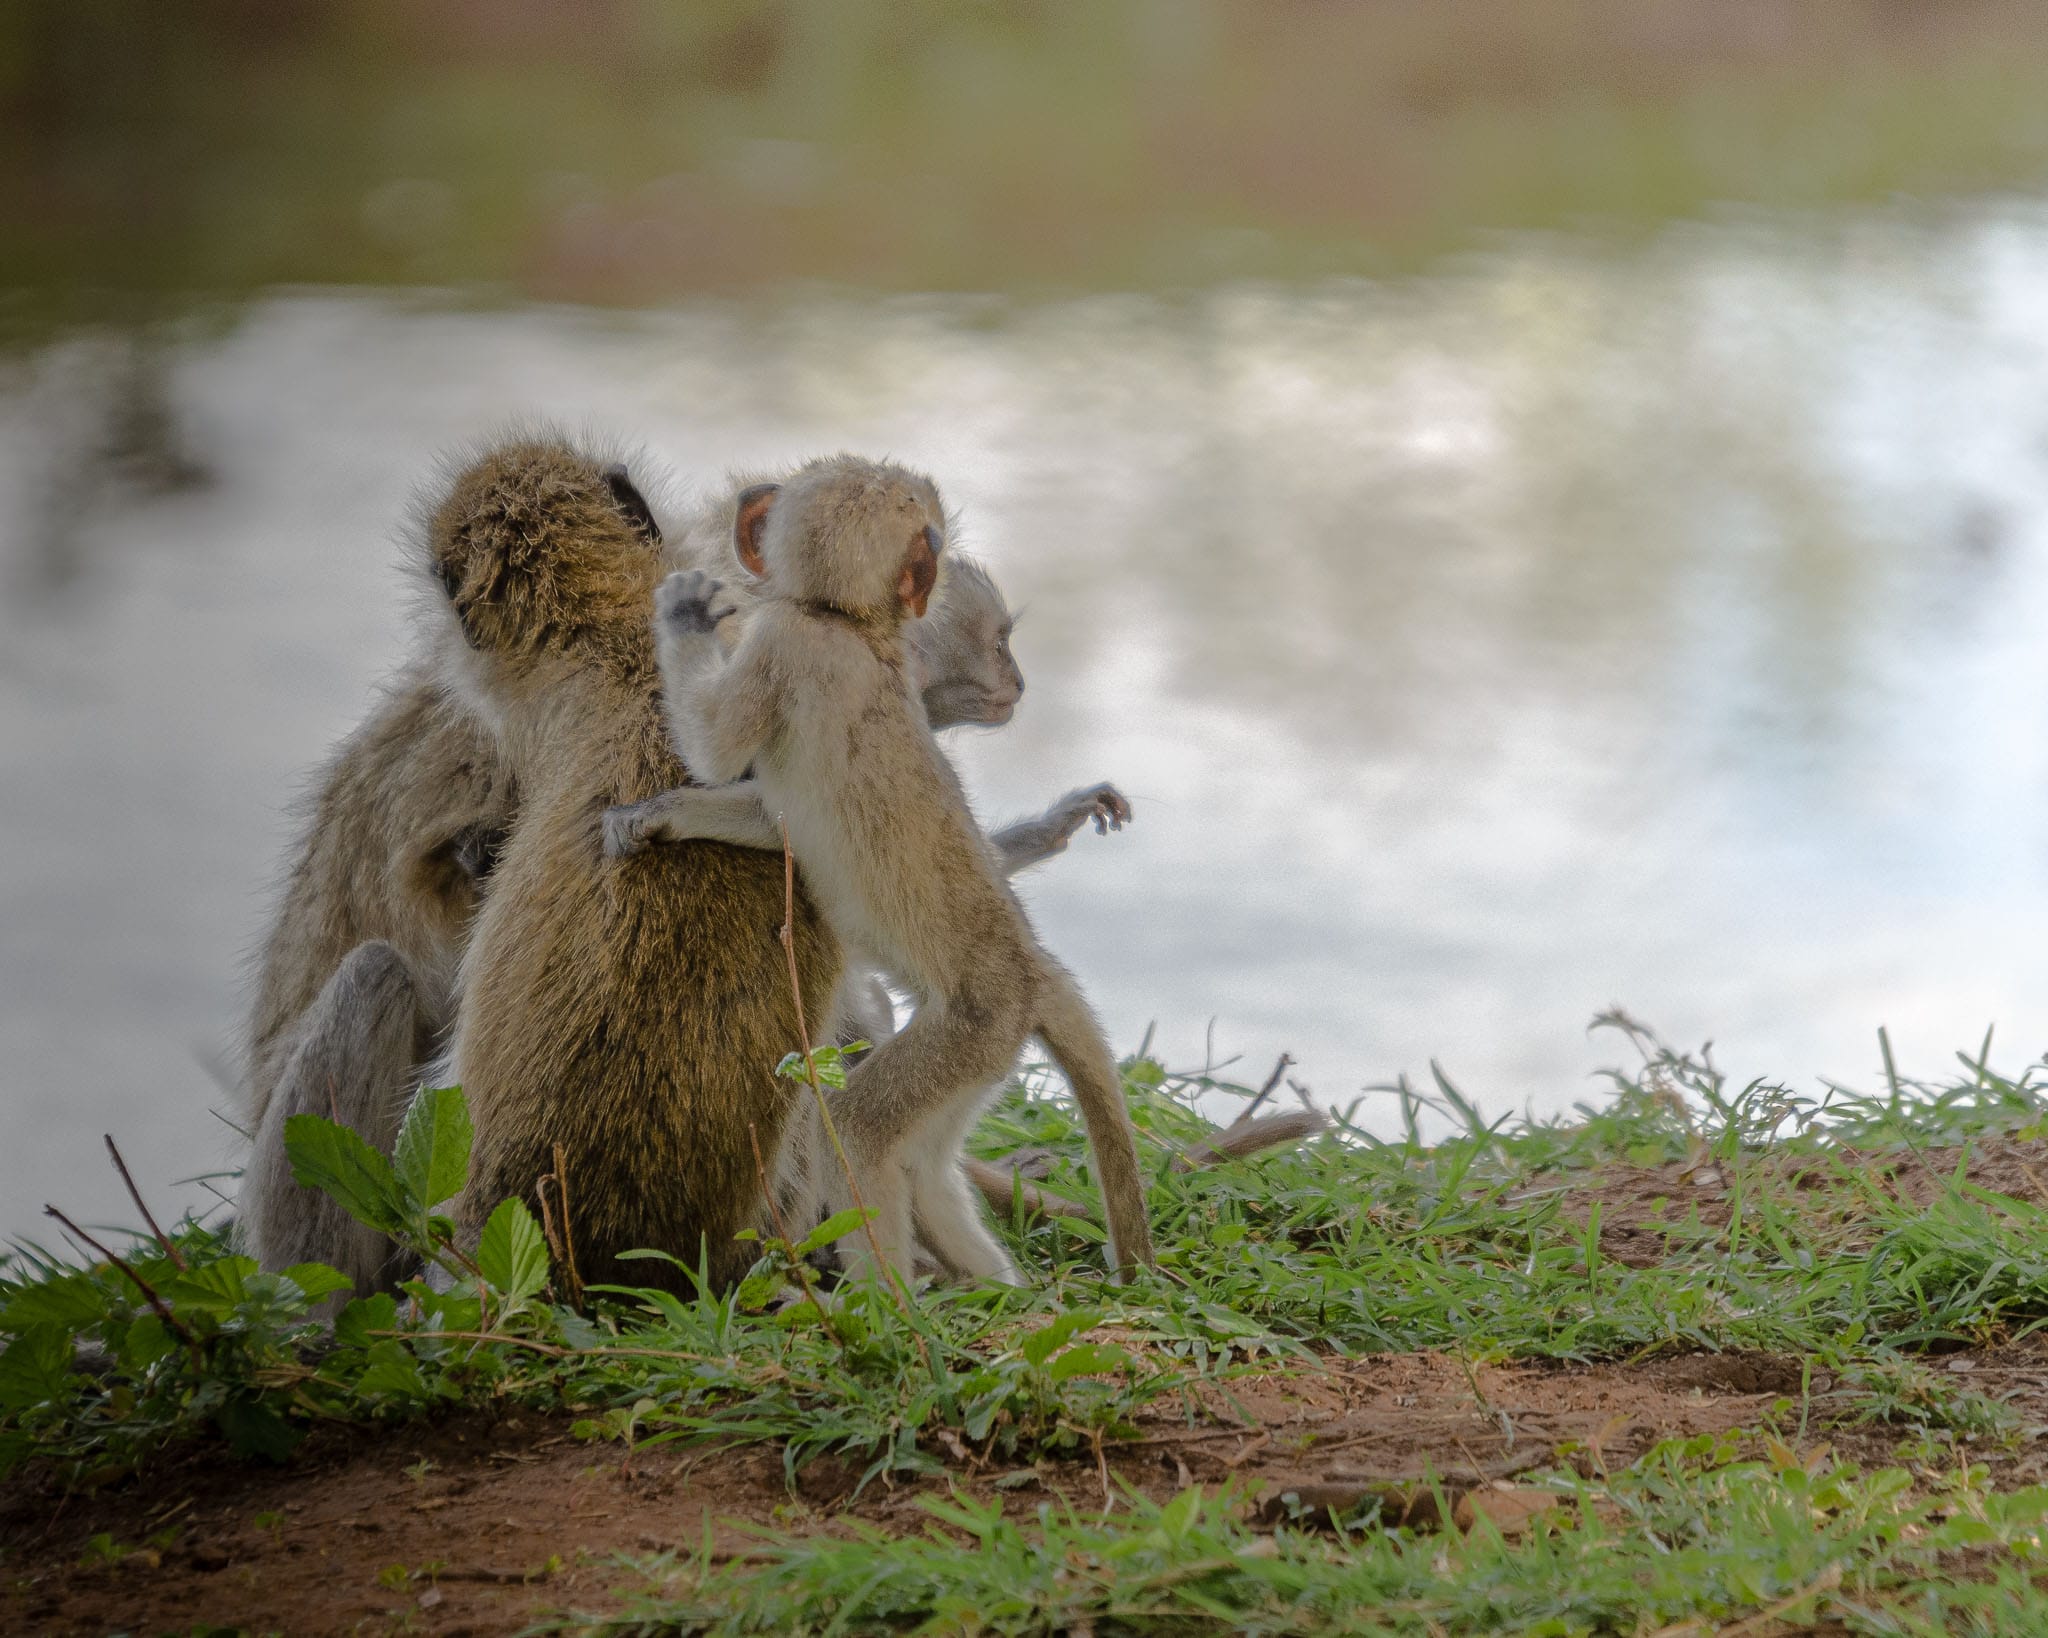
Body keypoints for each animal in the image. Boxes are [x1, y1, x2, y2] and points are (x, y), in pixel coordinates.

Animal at [648, 455, 1157, 1285]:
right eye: (1000, 644)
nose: (1020, 682)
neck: (854, 626)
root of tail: (1026, 965)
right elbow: (774, 818)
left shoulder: (786, 641)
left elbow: (722, 756)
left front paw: (686, 617)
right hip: (987, 1048)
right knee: (922, 1160)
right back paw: (993, 1290)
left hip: (972, 1024)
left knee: (855, 1129)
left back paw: (885, 1305)